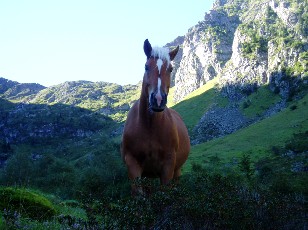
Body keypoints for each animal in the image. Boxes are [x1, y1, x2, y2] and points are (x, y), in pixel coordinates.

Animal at [121, 39, 190, 194]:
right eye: (146, 67)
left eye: (170, 69)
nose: (158, 99)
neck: (149, 127)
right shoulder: (132, 166)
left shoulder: (168, 167)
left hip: (177, 172)